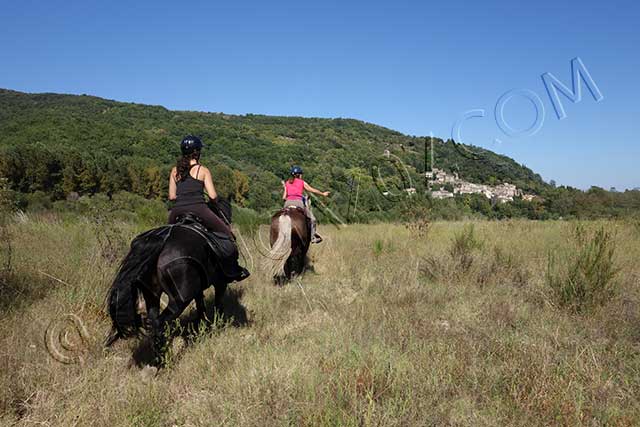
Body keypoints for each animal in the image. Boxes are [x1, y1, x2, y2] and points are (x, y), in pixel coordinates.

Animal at [106, 201, 241, 364]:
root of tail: (161, 242)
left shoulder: (198, 289)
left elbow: (201, 305)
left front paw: (201, 325)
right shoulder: (220, 282)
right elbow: (218, 303)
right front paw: (217, 324)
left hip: (152, 294)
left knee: (153, 320)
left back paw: (158, 356)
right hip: (178, 301)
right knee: (159, 323)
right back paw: (163, 359)